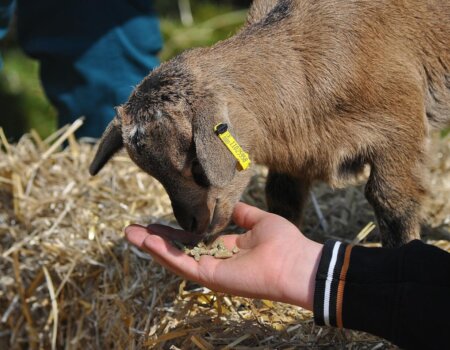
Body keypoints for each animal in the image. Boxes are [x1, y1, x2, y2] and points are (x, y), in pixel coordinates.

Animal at [89, 0, 448, 247]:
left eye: (197, 167)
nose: (191, 225)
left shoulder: (400, 127)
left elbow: (391, 201)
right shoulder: (297, 152)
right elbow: (281, 199)